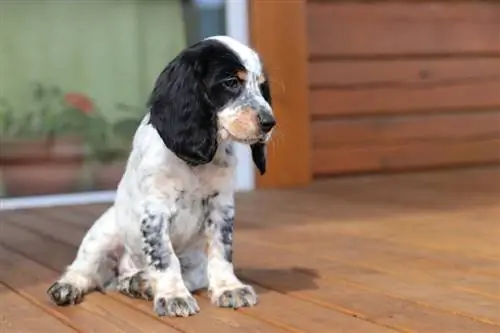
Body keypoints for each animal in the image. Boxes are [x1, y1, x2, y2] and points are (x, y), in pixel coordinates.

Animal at [47, 34, 278, 316]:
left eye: (262, 87)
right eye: (231, 82)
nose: (269, 122)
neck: (194, 163)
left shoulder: (221, 206)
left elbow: (221, 251)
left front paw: (229, 288)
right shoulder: (155, 210)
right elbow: (164, 257)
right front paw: (173, 296)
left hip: (193, 261)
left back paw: (139, 283)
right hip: (103, 234)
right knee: (83, 269)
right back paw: (70, 286)